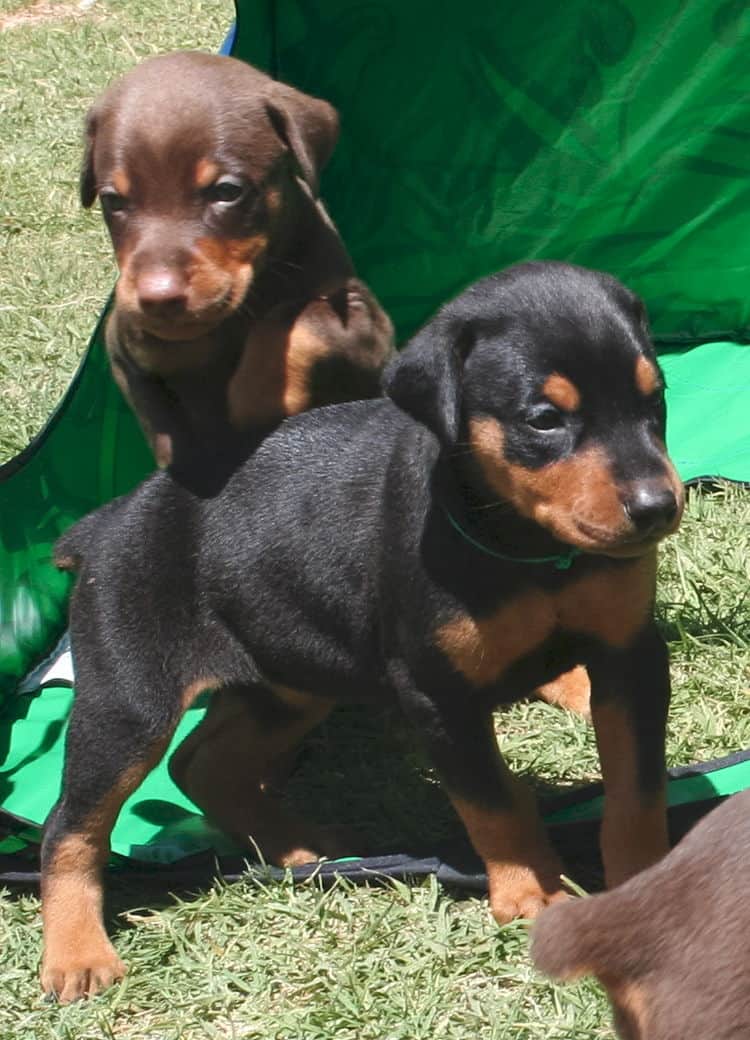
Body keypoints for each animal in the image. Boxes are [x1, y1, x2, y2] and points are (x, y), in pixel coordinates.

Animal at [43, 262, 682, 998]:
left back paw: (300, 851)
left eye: (655, 400)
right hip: (130, 700)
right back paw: (75, 953)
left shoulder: (630, 656)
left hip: (289, 681)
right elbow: (493, 803)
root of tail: (106, 525)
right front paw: (532, 895)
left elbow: (637, 787)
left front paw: (642, 878)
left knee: (202, 763)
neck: (527, 550)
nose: (658, 507)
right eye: (544, 419)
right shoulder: (436, 693)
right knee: (71, 825)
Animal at [82, 49, 395, 486]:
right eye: (113, 200)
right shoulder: (120, 340)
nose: (158, 297)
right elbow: (163, 428)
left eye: (227, 192)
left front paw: (253, 400)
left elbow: (298, 319)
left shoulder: (364, 320)